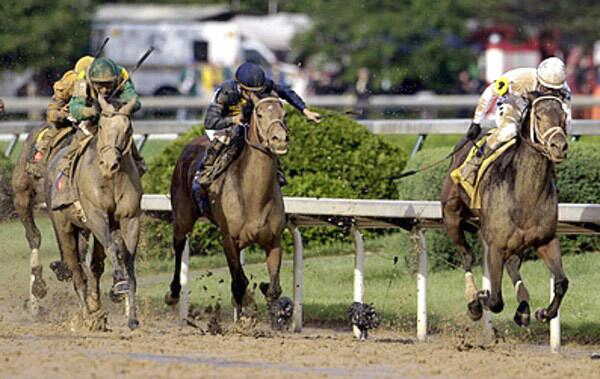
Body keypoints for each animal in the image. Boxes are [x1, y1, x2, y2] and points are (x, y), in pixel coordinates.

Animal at [45, 96, 142, 332]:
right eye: (101, 126)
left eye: (128, 128)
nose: (109, 164)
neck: (111, 180)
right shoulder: (97, 216)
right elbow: (113, 248)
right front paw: (119, 281)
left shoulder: (130, 220)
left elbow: (128, 259)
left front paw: (132, 318)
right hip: (64, 227)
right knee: (77, 273)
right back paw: (87, 317)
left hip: (85, 230)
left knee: (94, 267)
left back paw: (96, 310)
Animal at [165, 96, 290, 326]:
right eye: (260, 114)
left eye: (284, 114)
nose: (279, 139)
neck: (254, 197)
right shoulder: (229, 240)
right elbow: (239, 284)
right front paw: (245, 309)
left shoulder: (274, 240)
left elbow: (274, 289)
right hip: (183, 217)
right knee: (178, 245)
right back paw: (173, 293)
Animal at [442, 94, 568, 326]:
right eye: (538, 116)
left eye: (564, 115)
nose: (559, 146)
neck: (524, 195)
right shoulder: (495, 246)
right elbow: (495, 301)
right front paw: (480, 298)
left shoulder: (546, 240)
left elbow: (562, 282)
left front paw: (544, 313)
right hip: (451, 216)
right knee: (467, 255)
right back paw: (474, 300)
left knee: (512, 264)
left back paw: (523, 307)